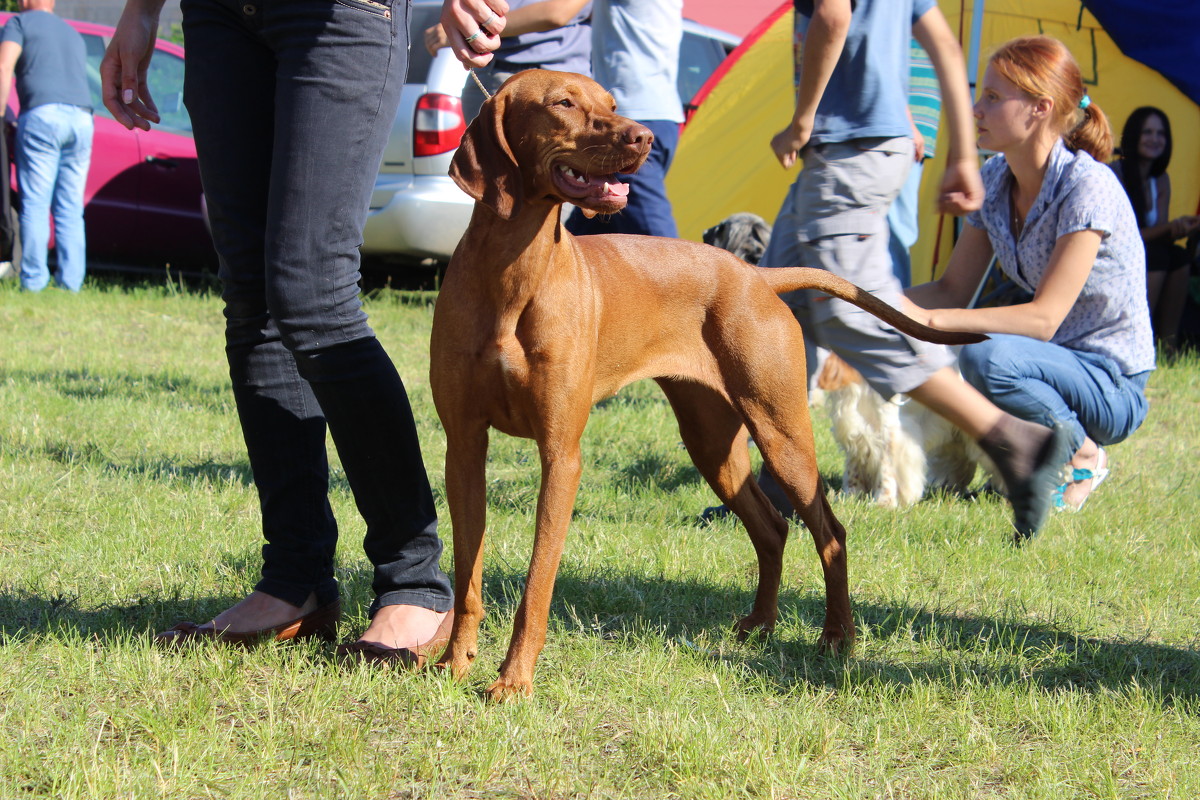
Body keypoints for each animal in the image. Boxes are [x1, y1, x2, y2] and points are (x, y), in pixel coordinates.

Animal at [427, 70, 979, 700]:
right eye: (562, 103)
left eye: (610, 102)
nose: (642, 136)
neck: (512, 273)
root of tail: (757, 274)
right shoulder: (463, 448)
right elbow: (468, 575)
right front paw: (453, 663)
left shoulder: (560, 454)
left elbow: (537, 582)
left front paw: (514, 680)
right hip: (713, 443)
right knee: (772, 528)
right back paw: (760, 624)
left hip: (782, 434)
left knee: (829, 530)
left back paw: (837, 635)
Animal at [816, 355, 1003, 506]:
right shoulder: (855, 424)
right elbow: (854, 467)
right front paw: (849, 498)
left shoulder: (890, 427)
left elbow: (887, 468)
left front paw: (884, 503)